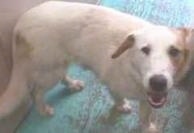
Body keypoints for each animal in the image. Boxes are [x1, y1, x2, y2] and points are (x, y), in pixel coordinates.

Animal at [0, 1, 193, 132]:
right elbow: (118, 99)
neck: (133, 69)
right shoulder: (113, 85)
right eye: (145, 49)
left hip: (59, 63)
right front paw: (122, 106)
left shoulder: (148, 99)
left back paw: (72, 84)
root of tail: (20, 24)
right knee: (35, 92)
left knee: (61, 77)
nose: (158, 82)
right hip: (50, 71)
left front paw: (148, 128)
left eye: (174, 51)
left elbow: (146, 117)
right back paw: (43, 109)